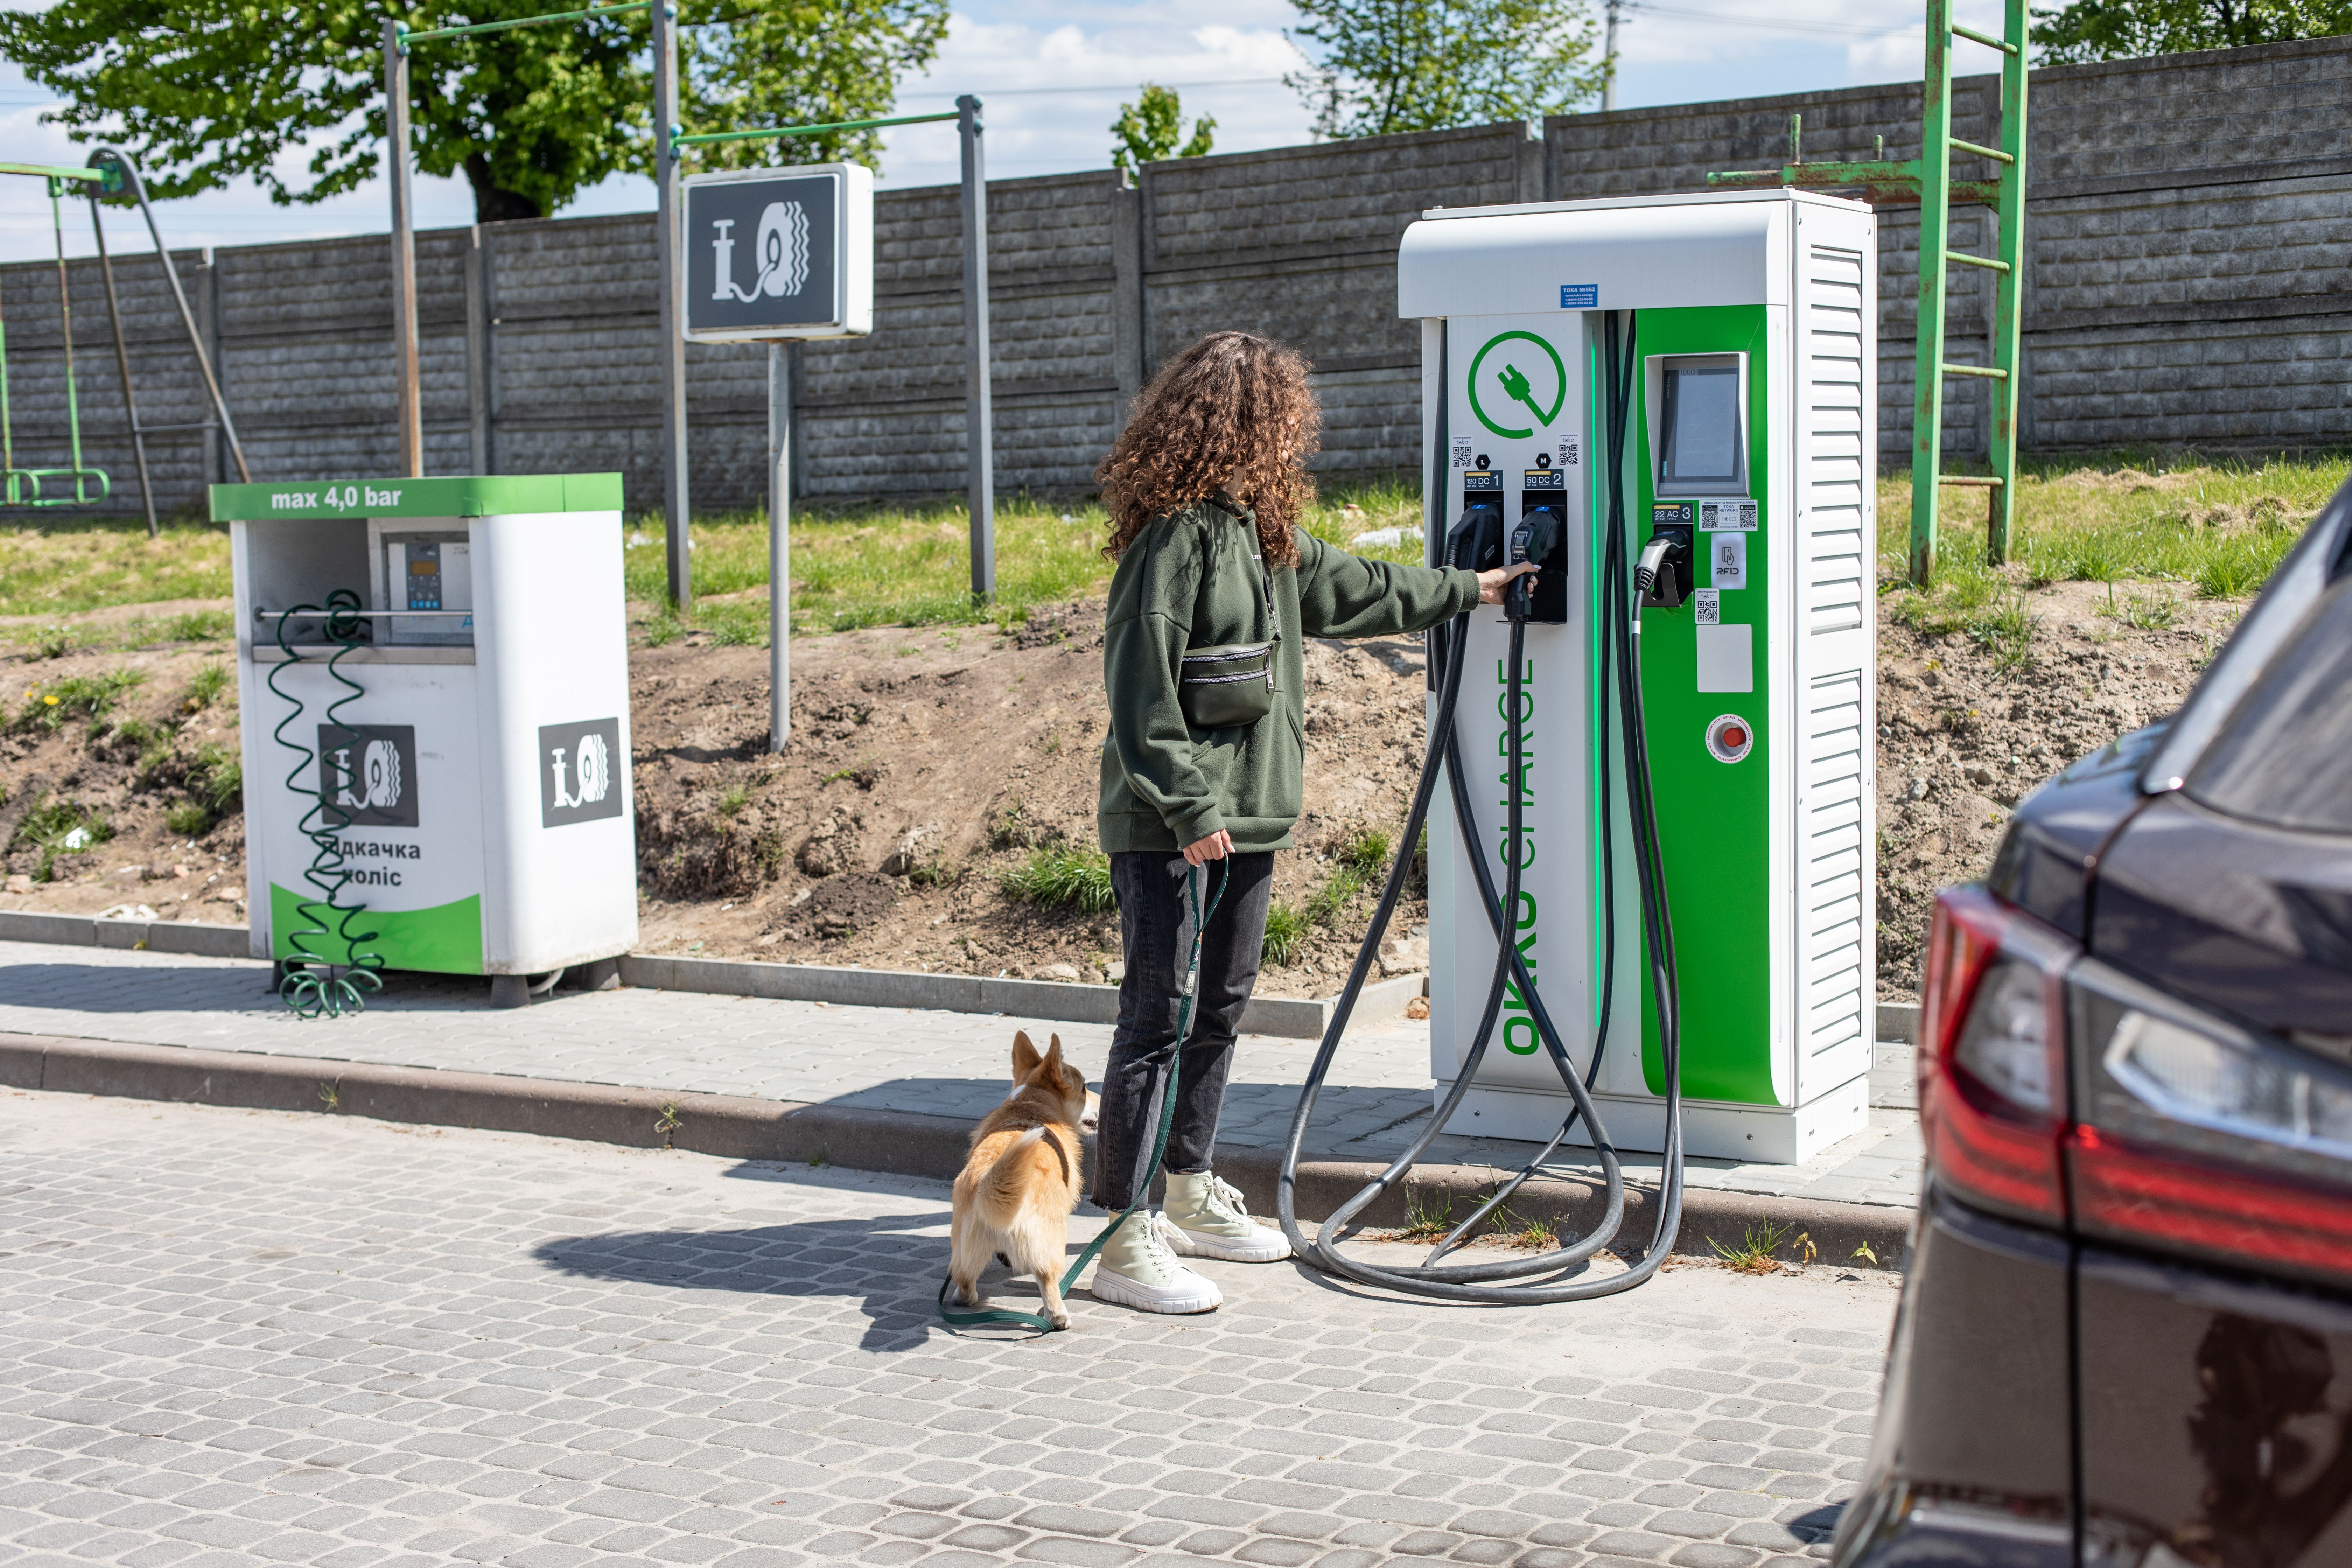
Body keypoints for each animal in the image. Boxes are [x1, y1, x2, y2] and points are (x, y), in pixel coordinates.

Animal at [950, 1034, 1096, 1335]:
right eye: (1085, 1089)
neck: (1031, 1102)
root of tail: (988, 1182)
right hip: (1051, 1240)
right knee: (1047, 1278)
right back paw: (1058, 1317)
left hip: (964, 1243)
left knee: (965, 1281)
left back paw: (963, 1296)